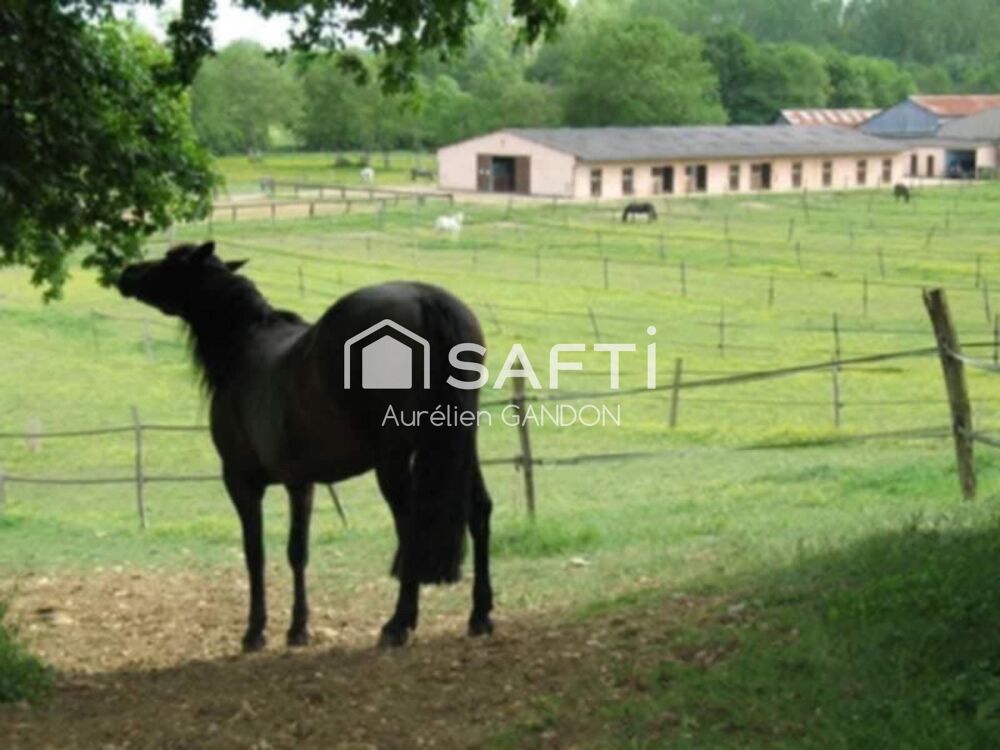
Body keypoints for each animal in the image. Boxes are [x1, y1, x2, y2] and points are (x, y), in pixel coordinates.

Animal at [117, 242, 494, 652]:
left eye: (172, 262)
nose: (128, 273)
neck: (245, 345)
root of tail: (425, 299)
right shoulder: (302, 483)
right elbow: (298, 552)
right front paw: (298, 628)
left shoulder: (241, 481)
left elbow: (256, 554)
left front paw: (255, 631)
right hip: (461, 445)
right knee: (478, 510)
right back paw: (480, 615)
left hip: (393, 459)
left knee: (411, 525)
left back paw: (398, 624)